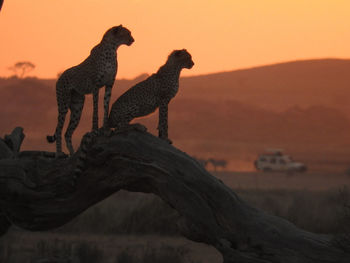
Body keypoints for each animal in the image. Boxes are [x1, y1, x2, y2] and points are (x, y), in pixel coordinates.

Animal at [46, 24, 134, 157]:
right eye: (127, 33)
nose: (133, 40)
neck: (112, 49)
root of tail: (60, 77)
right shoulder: (95, 86)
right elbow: (95, 109)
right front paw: (95, 129)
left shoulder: (109, 85)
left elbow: (106, 106)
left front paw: (105, 129)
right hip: (63, 104)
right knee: (59, 129)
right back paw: (59, 153)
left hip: (77, 108)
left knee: (67, 132)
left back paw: (72, 154)